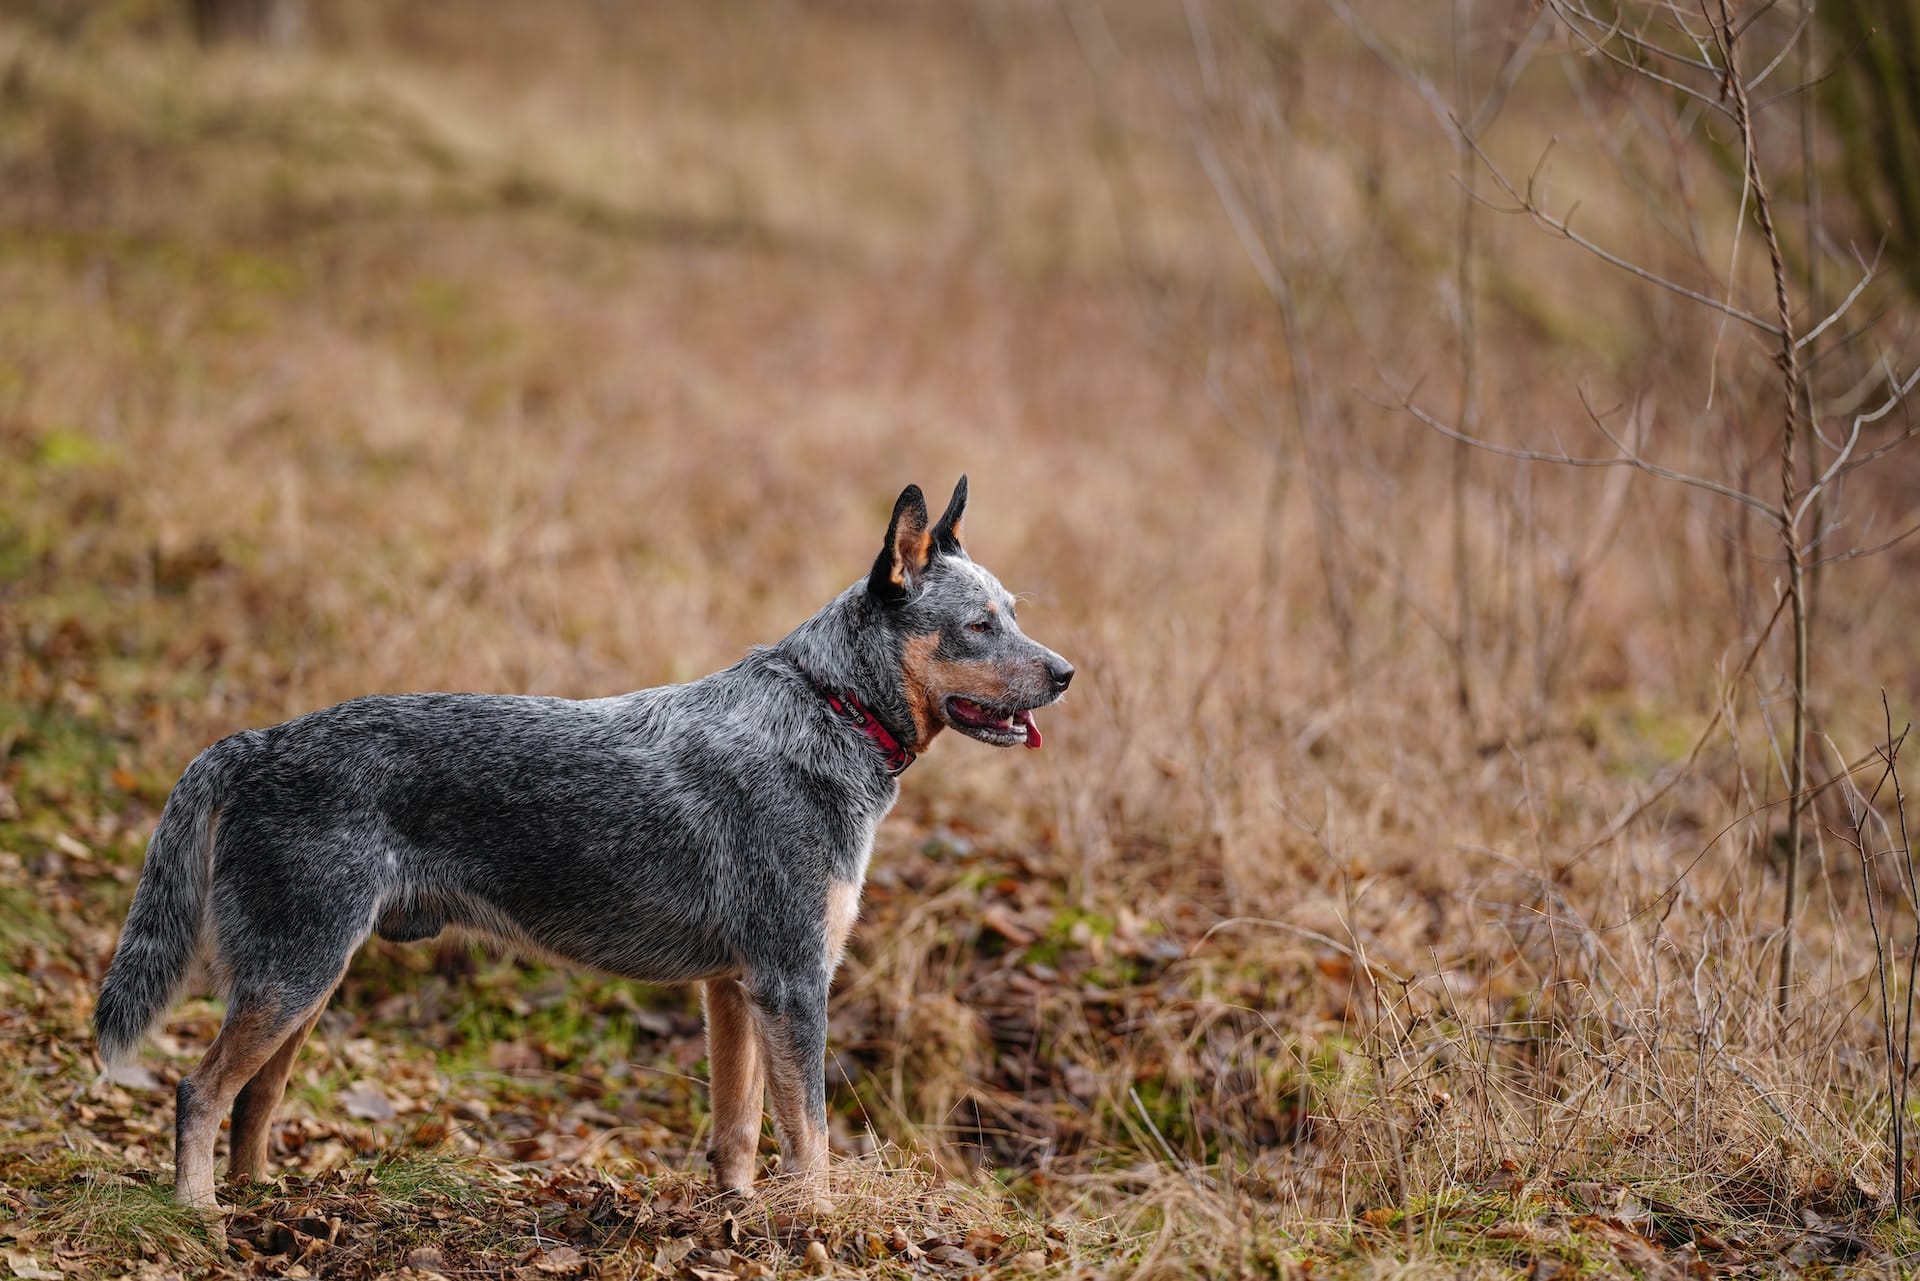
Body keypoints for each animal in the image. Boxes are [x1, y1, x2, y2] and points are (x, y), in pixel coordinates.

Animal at [93, 478, 1082, 1213]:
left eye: (1013, 611)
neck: (828, 708)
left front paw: (735, 1219)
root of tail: (252, 742)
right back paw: (201, 1211)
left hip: (307, 976)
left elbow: (740, 1131)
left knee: (255, 1098)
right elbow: (812, 1141)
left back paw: (262, 1197)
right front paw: (817, 1231)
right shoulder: (794, 982)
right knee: (199, 1090)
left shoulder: (735, 989)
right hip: (294, 971)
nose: (1069, 672)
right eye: (979, 625)